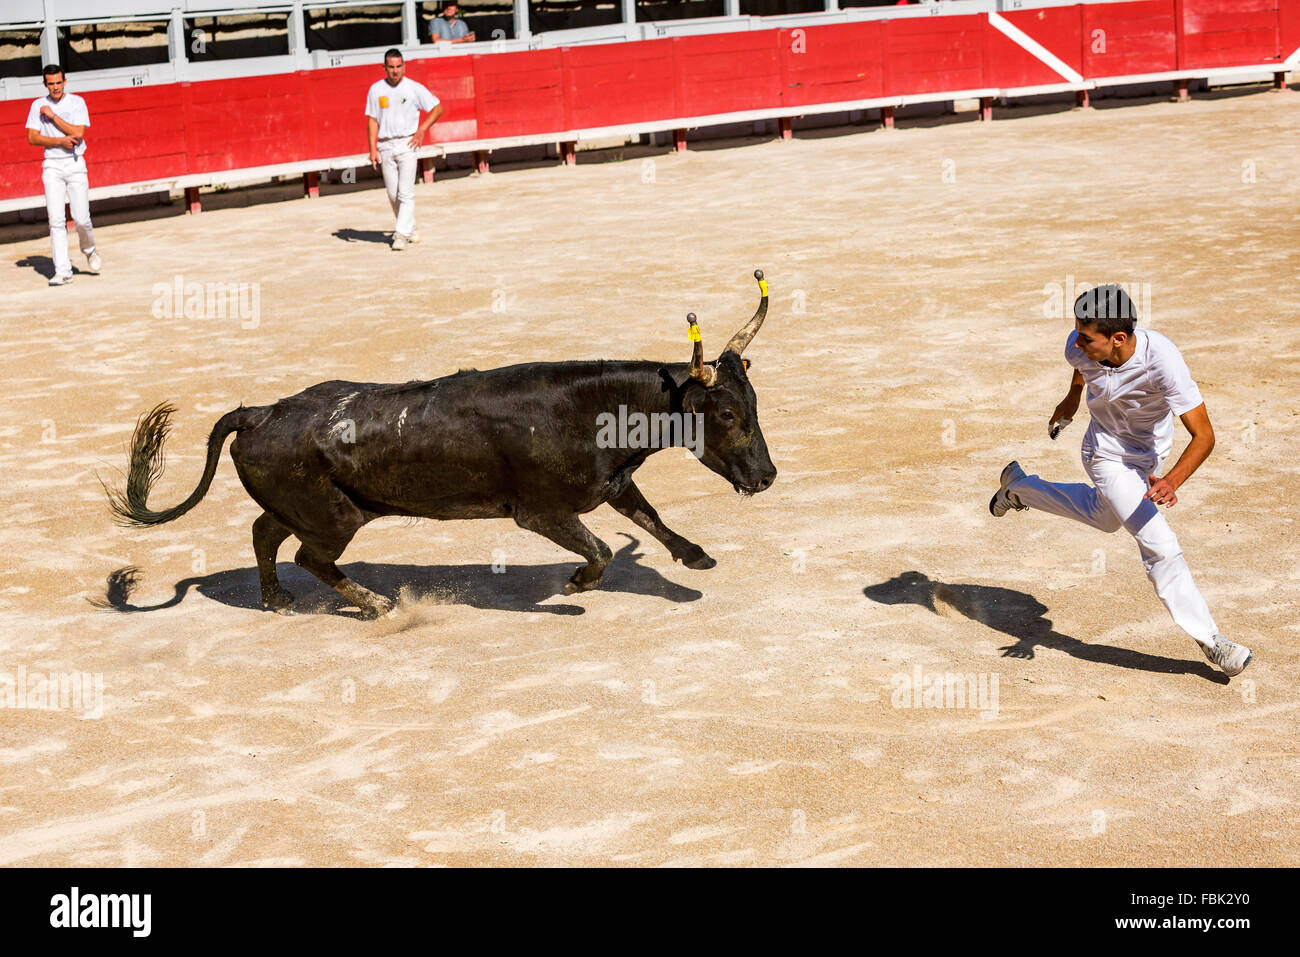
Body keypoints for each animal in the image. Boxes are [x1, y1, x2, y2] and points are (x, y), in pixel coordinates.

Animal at [106, 270, 774, 613]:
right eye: (727, 413)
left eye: (754, 405)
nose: (766, 476)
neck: (588, 410)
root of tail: (262, 411)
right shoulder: (541, 513)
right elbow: (603, 551)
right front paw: (574, 587)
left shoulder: (611, 483)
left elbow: (649, 518)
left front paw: (696, 556)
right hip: (335, 516)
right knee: (308, 556)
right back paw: (379, 607)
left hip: (312, 506)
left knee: (265, 533)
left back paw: (278, 601)